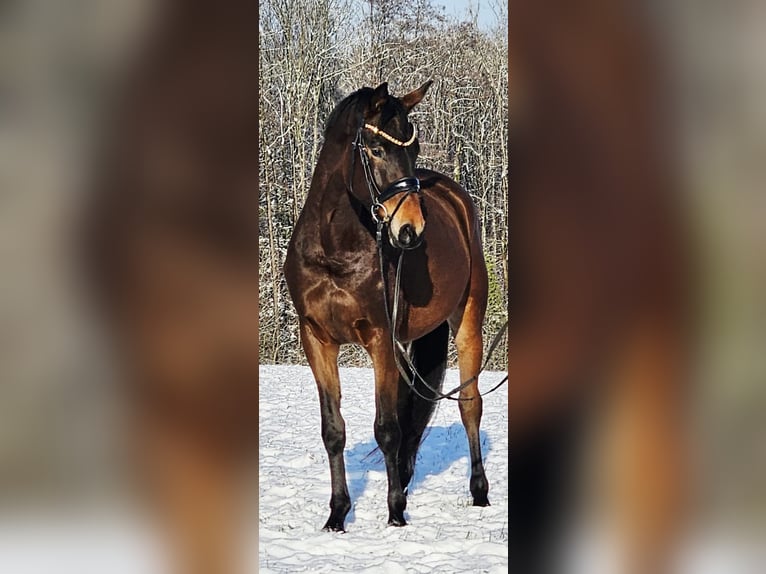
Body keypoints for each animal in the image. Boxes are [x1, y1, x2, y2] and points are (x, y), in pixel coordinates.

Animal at [283, 81, 491, 531]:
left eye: (413, 151)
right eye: (376, 150)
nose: (410, 229)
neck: (335, 251)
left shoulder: (380, 339)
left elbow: (387, 428)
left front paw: (395, 512)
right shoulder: (318, 341)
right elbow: (334, 430)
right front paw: (337, 514)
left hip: (467, 322)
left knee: (470, 405)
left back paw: (479, 492)